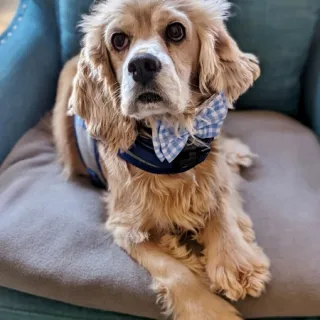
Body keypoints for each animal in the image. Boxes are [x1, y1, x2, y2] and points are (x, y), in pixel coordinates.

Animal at [52, 1, 270, 318]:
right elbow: (175, 272)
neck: (168, 143)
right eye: (118, 40)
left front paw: (235, 261)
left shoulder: (212, 177)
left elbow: (222, 208)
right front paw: (209, 310)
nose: (142, 64)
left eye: (176, 31)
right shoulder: (126, 227)